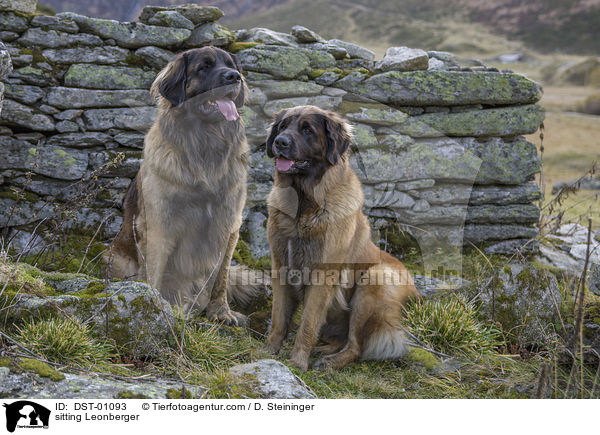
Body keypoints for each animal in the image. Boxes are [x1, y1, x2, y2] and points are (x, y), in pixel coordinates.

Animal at [104, 46, 252, 328]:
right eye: (203, 67)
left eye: (231, 65)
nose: (234, 77)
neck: (205, 145)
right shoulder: (160, 223)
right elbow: (154, 271)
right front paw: (154, 305)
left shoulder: (229, 224)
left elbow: (222, 276)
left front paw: (221, 312)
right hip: (115, 257)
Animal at [264, 105, 420, 372]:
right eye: (283, 126)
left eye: (307, 130)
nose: (279, 142)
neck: (303, 206)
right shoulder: (280, 266)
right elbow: (278, 318)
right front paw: (268, 351)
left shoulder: (321, 276)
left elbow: (307, 325)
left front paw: (297, 363)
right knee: (340, 339)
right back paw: (323, 349)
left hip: (373, 281)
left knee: (356, 347)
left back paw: (330, 361)